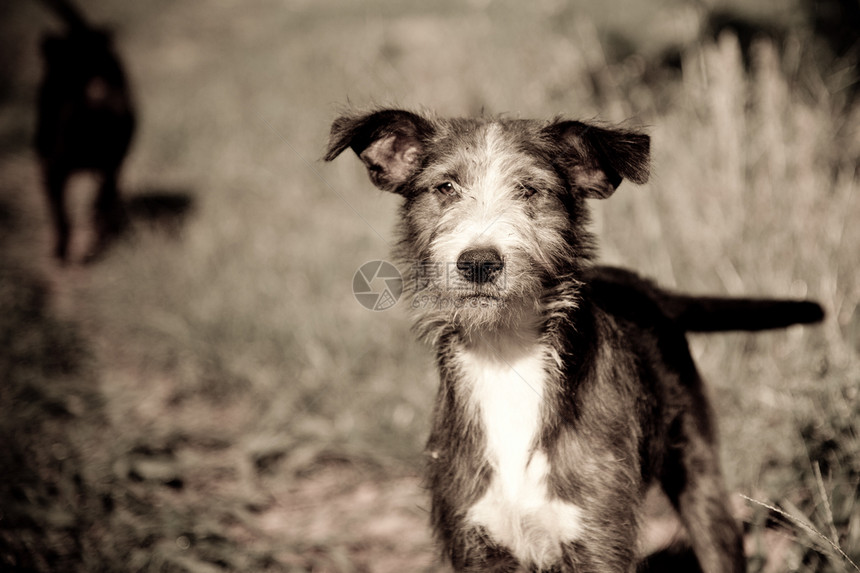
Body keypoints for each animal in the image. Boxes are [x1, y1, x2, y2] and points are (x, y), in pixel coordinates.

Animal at [34, 0, 134, 262]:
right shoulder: (52, 170)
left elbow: (96, 201)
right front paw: (62, 250)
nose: (99, 91)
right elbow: (61, 213)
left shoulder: (109, 164)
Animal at [326, 108, 824, 572]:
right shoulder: (474, 540)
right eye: (446, 187)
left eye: (529, 190)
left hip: (700, 482)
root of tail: (645, 286)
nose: (479, 262)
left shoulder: (597, 537)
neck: (506, 355)